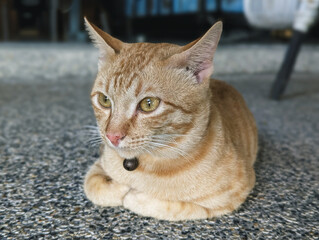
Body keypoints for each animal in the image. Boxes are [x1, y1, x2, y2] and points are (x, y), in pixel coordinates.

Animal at [82, 17, 258, 221]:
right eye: (104, 100)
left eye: (148, 104)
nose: (112, 137)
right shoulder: (99, 164)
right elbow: (93, 185)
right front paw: (120, 187)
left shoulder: (232, 195)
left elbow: (166, 206)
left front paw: (132, 194)